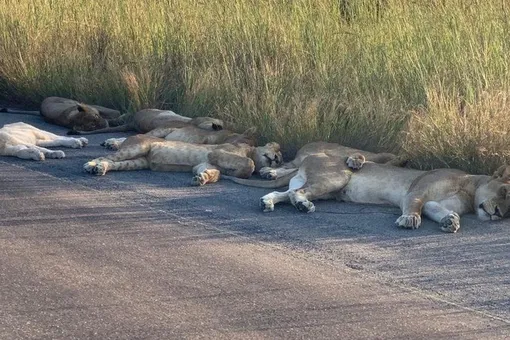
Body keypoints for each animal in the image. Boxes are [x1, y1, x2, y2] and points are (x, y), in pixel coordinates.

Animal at [83, 134, 282, 185]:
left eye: (280, 160)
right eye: (277, 152)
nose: (276, 160)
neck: (250, 150)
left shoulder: (204, 163)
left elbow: (214, 173)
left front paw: (202, 179)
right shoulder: (217, 153)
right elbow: (250, 164)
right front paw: (242, 171)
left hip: (137, 162)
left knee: (113, 163)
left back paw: (100, 169)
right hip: (138, 147)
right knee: (106, 156)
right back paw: (90, 165)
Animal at [258, 152, 510, 234]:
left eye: (509, 211)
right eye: (504, 190)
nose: (499, 213)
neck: (469, 189)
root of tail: (310, 157)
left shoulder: (434, 203)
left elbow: (437, 210)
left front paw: (451, 221)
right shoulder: (416, 191)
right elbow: (414, 206)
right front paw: (409, 220)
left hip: (325, 188)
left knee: (285, 192)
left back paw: (267, 203)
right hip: (336, 178)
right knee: (296, 193)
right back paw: (303, 205)